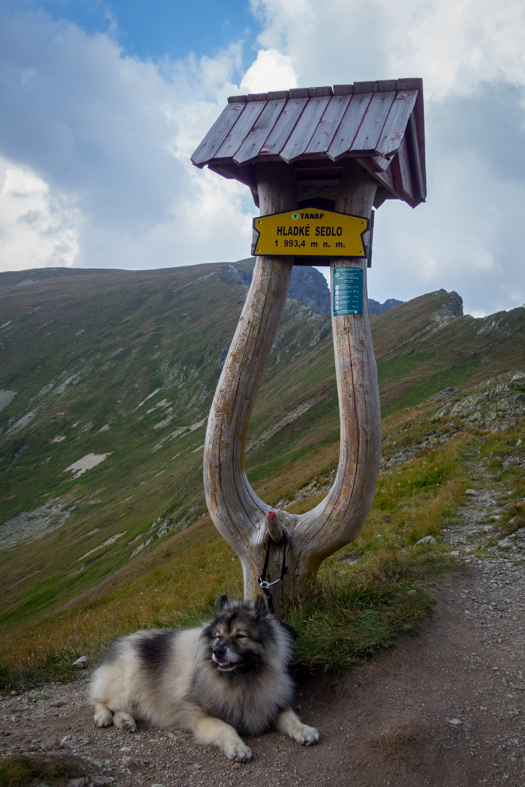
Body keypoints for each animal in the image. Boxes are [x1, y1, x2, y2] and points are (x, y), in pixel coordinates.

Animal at [89, 596, 318, 760]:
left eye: (240, 636)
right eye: (218, 636)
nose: (218, 651)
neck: (242, 678)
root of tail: (122, 643)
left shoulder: (270, 704)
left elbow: (291, 717)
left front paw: (305, 730)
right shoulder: (201, 716)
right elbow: (226, 727)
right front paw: (237, 747)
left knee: (120, 710)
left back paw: (125, 722)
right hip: (124, 688)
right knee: (100, 701)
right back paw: (104, 717)